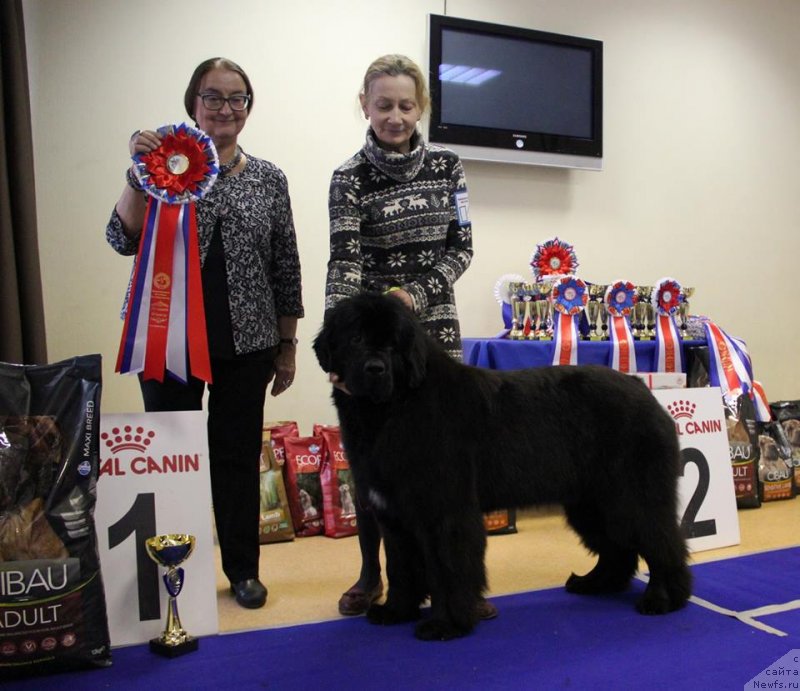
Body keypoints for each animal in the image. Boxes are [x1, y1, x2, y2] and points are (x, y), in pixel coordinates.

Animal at [316, 294, 692, 640]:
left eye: (394, 344)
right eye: (356, 338)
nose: (375, 369)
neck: (394, 408)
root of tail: (641, 388)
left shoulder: (444, 513)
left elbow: (447, 570)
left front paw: (446, 624)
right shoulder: (394, 514)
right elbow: (400, 566)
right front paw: (395, 611)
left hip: (632, 495)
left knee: (661, 542)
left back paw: (662, 599)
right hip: (592, 502)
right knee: (619, 549)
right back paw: (595, 583)